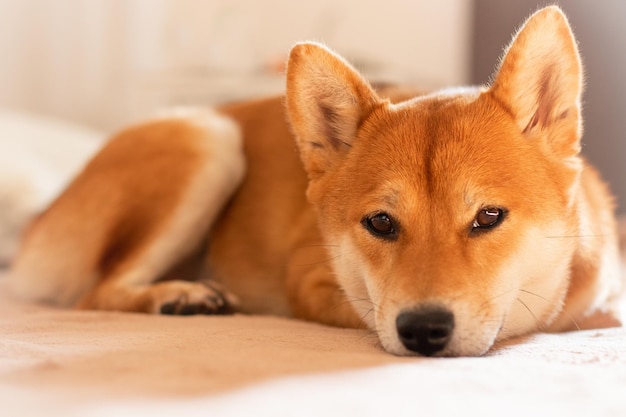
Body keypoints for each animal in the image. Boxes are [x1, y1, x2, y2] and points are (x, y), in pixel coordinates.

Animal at [7, 6, 620, 354]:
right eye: (380, 223)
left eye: (488, 217)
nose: (422, 330)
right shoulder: (311, 279)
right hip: (208, 140)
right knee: (98, 292)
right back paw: (179, 295)